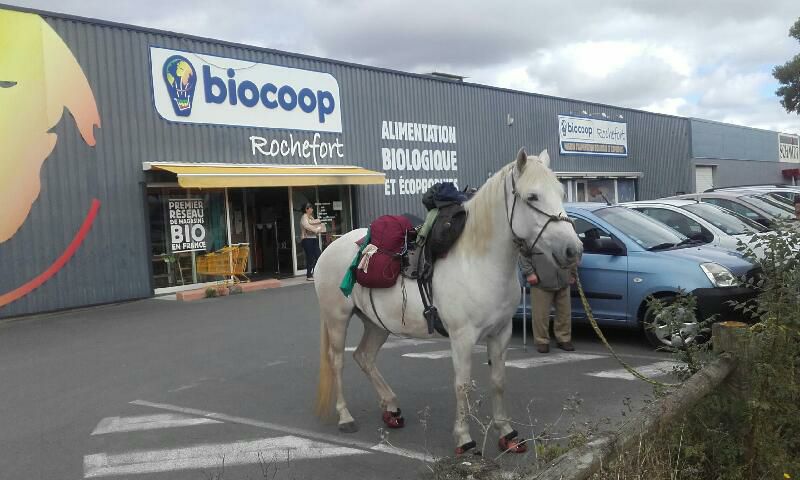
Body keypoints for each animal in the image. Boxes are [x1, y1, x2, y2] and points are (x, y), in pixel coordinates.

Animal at [310, 148, 580, 456]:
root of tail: (331, 246)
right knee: (338, 361)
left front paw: (507, 434)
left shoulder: (501, 332)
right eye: (532, 196)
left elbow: (499, 382)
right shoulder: (462, 337)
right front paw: (464, 439)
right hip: (337, 319)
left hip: (376, 323)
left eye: (561, 192)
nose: (573, 249)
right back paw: (345, 417)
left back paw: (391, 408)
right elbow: (462, 386)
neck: (477, 261)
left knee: (364, 357)